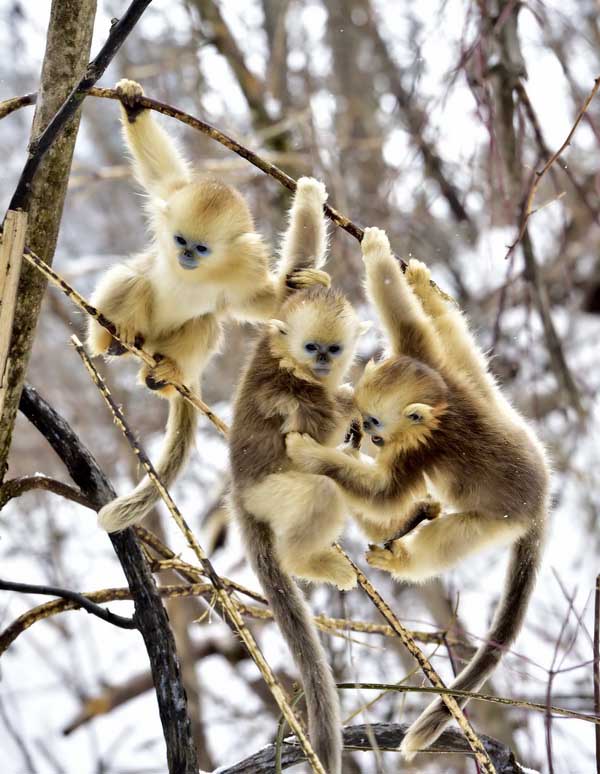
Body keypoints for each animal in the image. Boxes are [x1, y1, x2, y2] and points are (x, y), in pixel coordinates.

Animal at [92, 82, 328, 536]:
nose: (185, 256)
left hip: (172, 345)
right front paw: (132, 104)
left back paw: (163, 375)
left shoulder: (241, 272)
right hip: (131, 322)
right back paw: (115, 338)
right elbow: (163, 178)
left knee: (205, 324)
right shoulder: (170, 203)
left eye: (200, 248)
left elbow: (264, 302)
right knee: (136, 280)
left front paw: (300, 282)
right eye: (180, 240)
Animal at [288, 227, 552, 760]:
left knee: (445, 537)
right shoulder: (431, 363)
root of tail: (541, 506)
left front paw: (313, 454)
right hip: (482, 390)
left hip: (496, 522)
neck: (441, 414)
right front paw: (385, 260)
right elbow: (408, 319)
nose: (363, 433)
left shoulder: (417, 453)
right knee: (458, 340)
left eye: (374, 423)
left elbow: (385, 494)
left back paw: (402, 558)